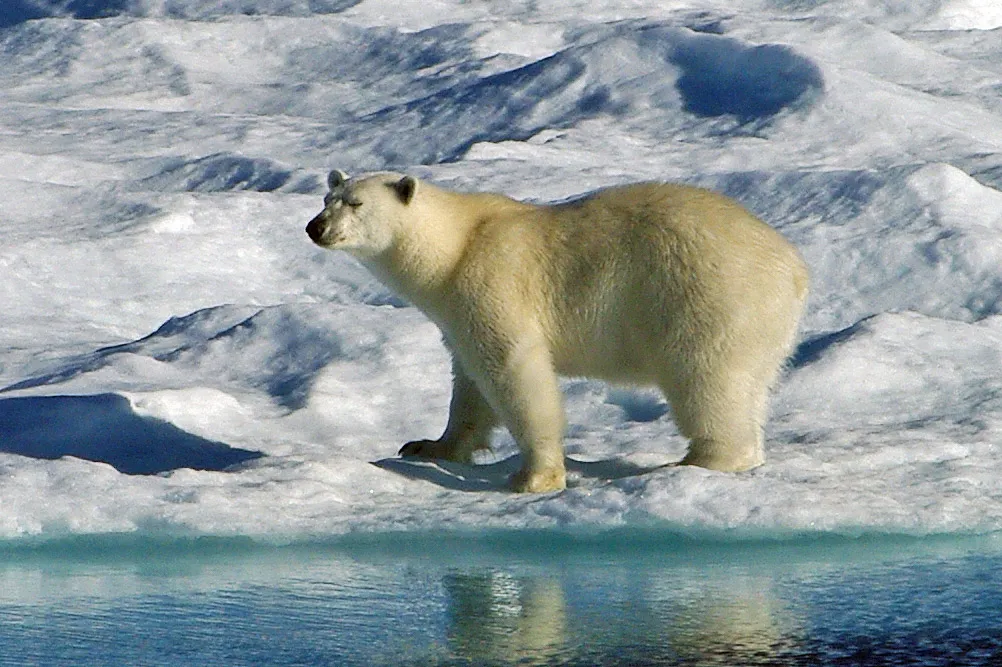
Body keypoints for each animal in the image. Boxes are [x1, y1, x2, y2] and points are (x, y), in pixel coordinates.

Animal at [306, 170, 809, 493]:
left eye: (356, 204)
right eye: (327, 199)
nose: (316, 227)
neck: (454, 247)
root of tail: (793, 268)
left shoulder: (492, 281)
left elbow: (515, 372)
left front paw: (534, 477)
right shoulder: (456, 312)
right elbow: (469, 384)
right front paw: (428, 446)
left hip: (707, 297)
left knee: (705, 378)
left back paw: (697, 459)